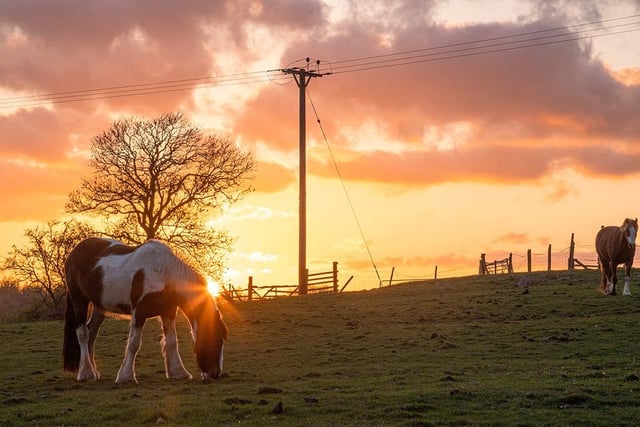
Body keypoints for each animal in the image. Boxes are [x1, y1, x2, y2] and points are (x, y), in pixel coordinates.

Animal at [63, 237, 228, 384]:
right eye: (217, 339)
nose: (215, 374)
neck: (163, 273)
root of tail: (74, 252)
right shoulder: (139, 312)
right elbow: (134, 343)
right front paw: (126, 376)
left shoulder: (168, 312)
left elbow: (171, 341)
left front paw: (178, 372)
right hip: (79, 300)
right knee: (83, 334)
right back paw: (86, 373)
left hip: (100, 307)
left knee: (92, 332)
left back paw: (94, 372)